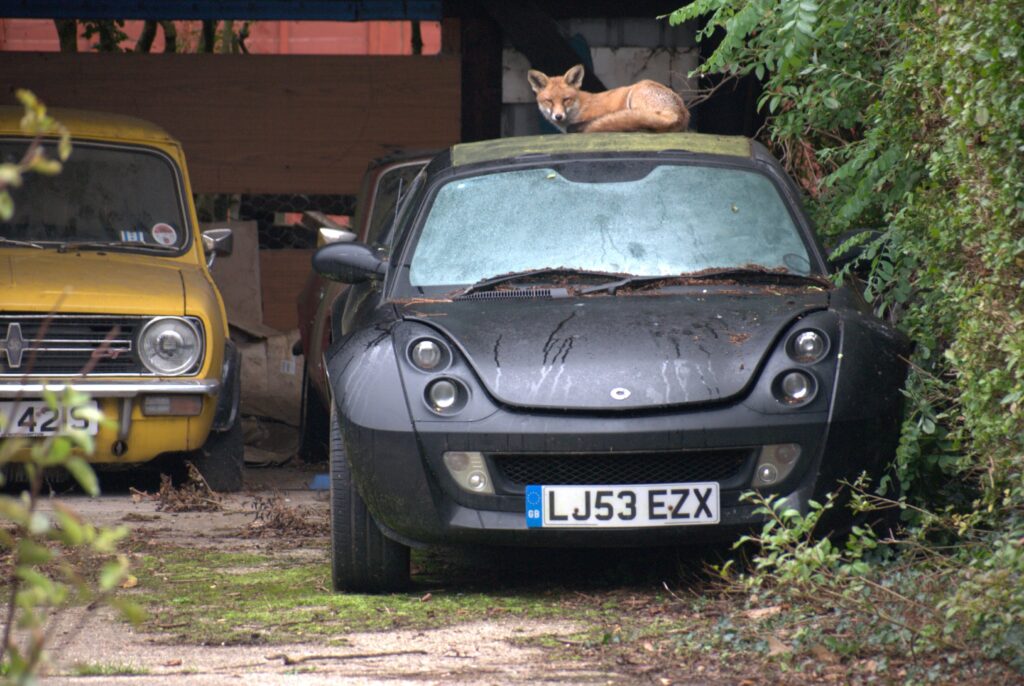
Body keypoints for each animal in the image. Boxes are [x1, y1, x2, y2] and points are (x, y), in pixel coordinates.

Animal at [528, 64, 688, 134]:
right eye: (549, 101)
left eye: (566, 99)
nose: (558, 116)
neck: (579, 107)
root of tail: (681, 112)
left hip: (636, 93)